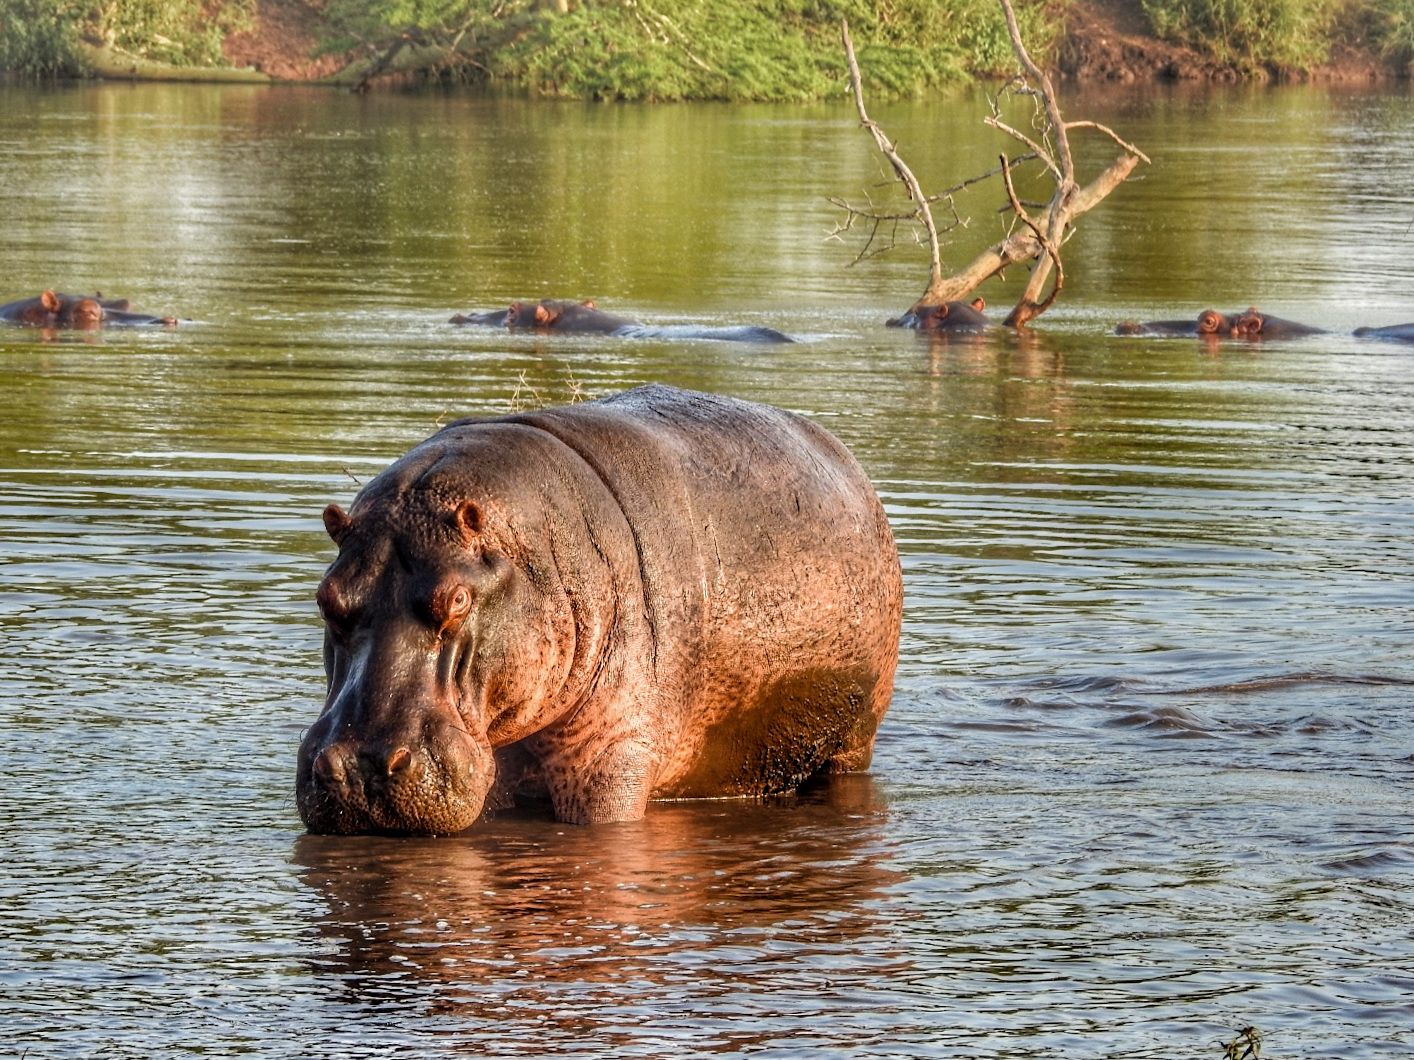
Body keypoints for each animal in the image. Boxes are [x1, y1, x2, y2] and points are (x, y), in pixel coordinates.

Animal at [295, 384, 904, 836]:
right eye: (325, 597)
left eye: (459, 599)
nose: (358, 769)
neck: (535, 555)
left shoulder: (612, 754)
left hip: (856, 737)